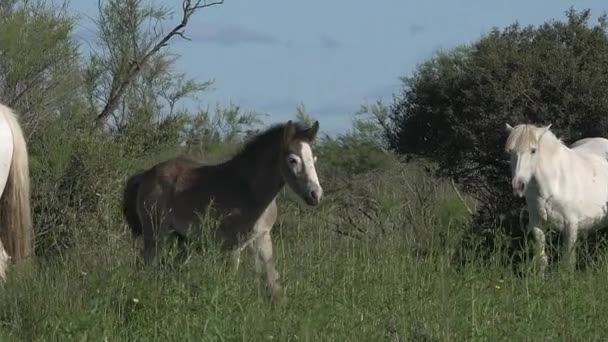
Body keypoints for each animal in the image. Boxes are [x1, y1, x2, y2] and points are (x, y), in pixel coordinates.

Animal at [122, 119, 324, 300]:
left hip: (181, 239)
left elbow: (273, 282)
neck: (250, 190)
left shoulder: (262, 238)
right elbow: (232, 279)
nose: (315, 194)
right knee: (146, 265)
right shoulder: (233, 246)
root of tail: (146, 174)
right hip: (155, 234)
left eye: (314, 158)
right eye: (292, 160)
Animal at [506, 122, 608, 270]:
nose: (518, 186)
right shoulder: (537, 223)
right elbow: (542, 259)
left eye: (533, 151)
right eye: (510, 151)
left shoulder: (571, 225)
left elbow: (568, 262)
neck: (554, 183)